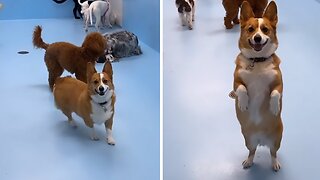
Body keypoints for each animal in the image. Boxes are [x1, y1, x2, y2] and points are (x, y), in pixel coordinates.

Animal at [232, 0, 282, 171]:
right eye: (250, 29)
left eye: (265, 29)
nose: (258, 38)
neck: (257, 61)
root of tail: (261, 140)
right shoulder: (235, 82)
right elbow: (241, 89)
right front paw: (243, 103)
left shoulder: (279, 83)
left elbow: (275, 93)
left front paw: (274, 106)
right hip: (249, 141)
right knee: (252, 152)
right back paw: (248, 161)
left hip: (276, 140)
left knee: (273, 153)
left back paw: (275, 163)